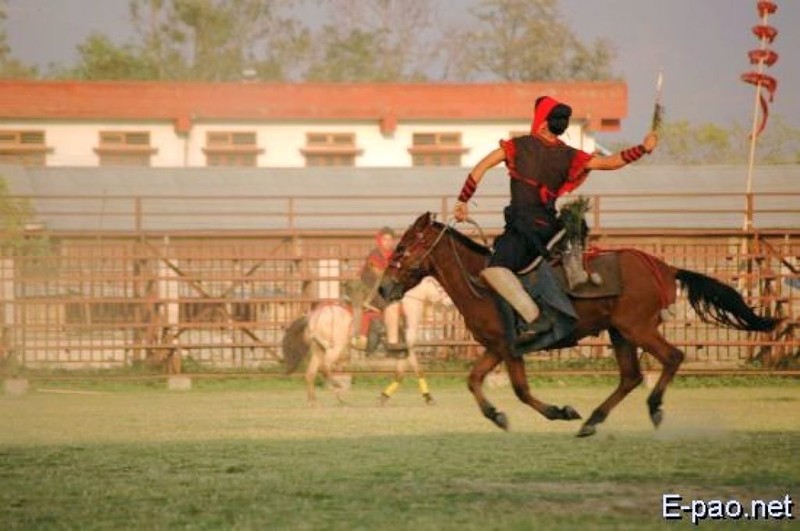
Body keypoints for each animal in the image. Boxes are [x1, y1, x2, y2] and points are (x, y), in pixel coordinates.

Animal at [284, 276, 454, 406]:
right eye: (440, 286)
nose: (451, 304)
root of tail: (314, 316)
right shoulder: (408, 349)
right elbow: (409, 372)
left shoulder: (405, 351)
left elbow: (406, 373)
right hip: (335, 348)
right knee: (325, 368)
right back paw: (338, 390)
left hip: (319, 348)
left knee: (310, 374)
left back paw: (315, 401)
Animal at [382, 214, 780, 438]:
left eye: (402, 247)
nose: (384, 288)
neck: (481, 281)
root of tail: (665, 267)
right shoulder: (496, 347)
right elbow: (473, 380)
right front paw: (496, 415)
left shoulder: (509, 347)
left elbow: (520, 390)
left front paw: (559, 412)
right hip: (621, 334)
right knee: (631, 376)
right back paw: (593, 420)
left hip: (637, 329)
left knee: (672, 358)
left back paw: (652, 407)